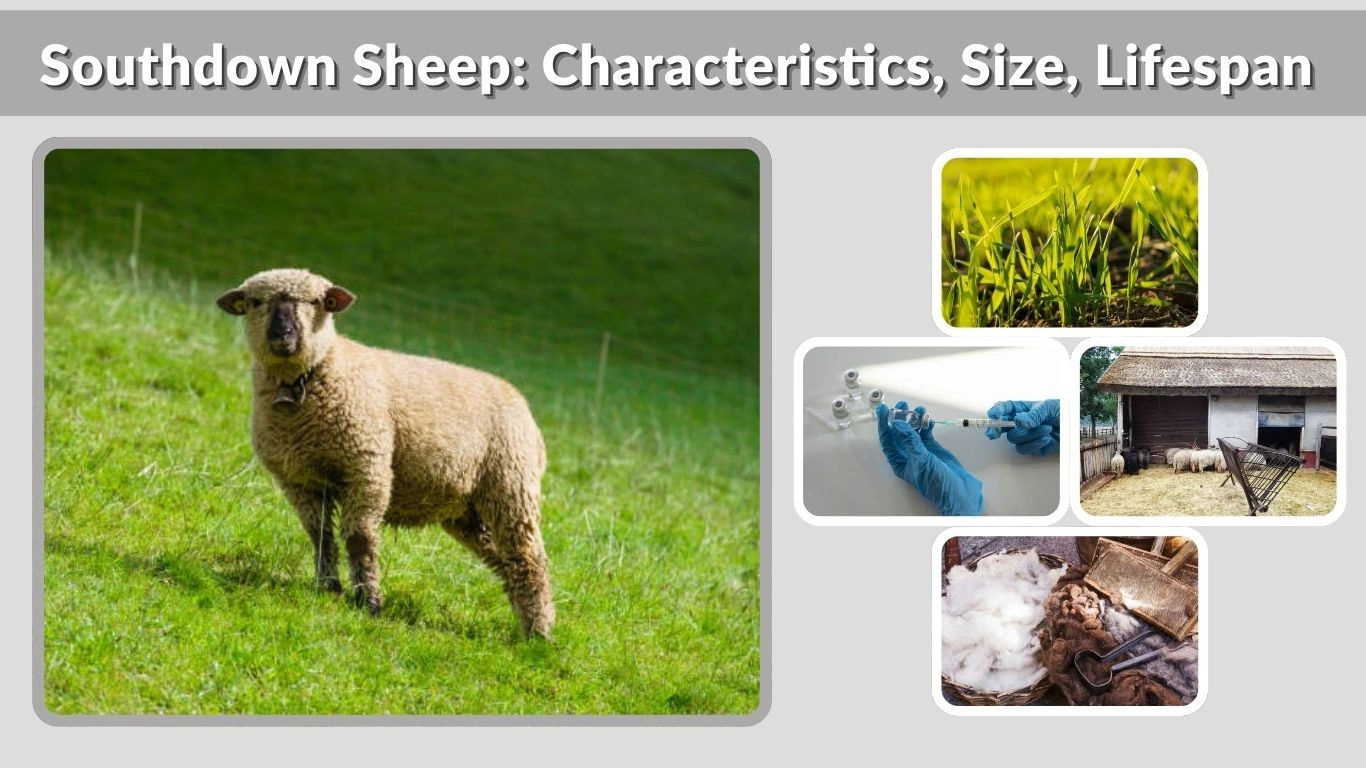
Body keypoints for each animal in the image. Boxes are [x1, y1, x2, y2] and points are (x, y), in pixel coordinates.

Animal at [217, 268, 555, 639]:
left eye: (316, 302)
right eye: (255, 302)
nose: (283, 335)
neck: (313, 376)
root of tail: (528, 414)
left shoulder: (367, 468)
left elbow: (359, 538)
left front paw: (369, 603)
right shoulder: (299, 480)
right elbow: (320, 536)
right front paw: (328, 589)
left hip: (511, 488)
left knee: (528, 558)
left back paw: (540, 635)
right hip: (467, 511)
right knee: (505, 561)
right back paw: (528, 625)